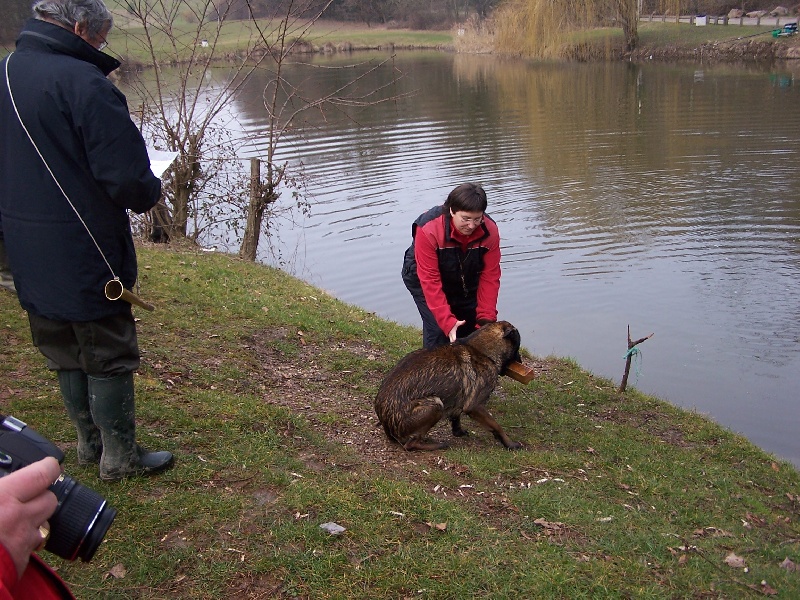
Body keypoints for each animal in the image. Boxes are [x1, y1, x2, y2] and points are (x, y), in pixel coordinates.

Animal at [376, 324, 524, 450]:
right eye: (517, 347)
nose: (521, 361)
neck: (482, 352)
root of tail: (386, 422)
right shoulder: (475, 406)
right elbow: (496, 426)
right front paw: (509, 443)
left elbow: (456, 417)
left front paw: (458, 432)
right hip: (435, 405)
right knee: (410, 445)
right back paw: (437, 445)